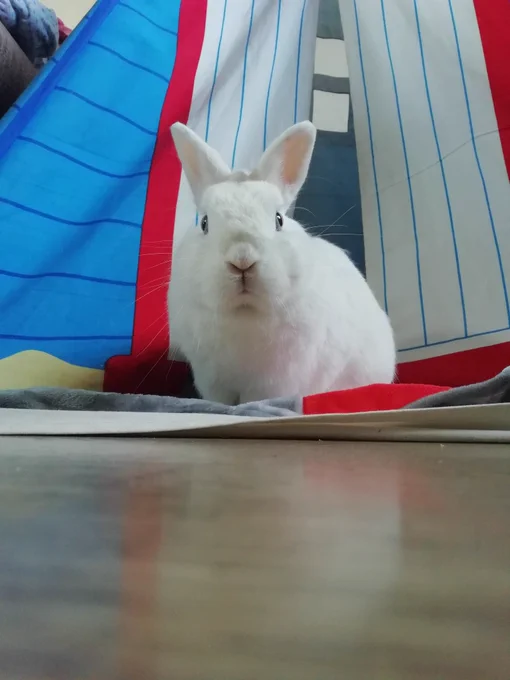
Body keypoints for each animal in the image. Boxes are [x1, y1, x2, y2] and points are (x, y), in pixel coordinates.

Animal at [168, 120, 396, 405]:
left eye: (278, 219)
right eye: (205, 223)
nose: (242, 260)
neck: (244, 314)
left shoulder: (274, 381)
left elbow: (255, 402)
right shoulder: (211, 379)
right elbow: (220, 403)